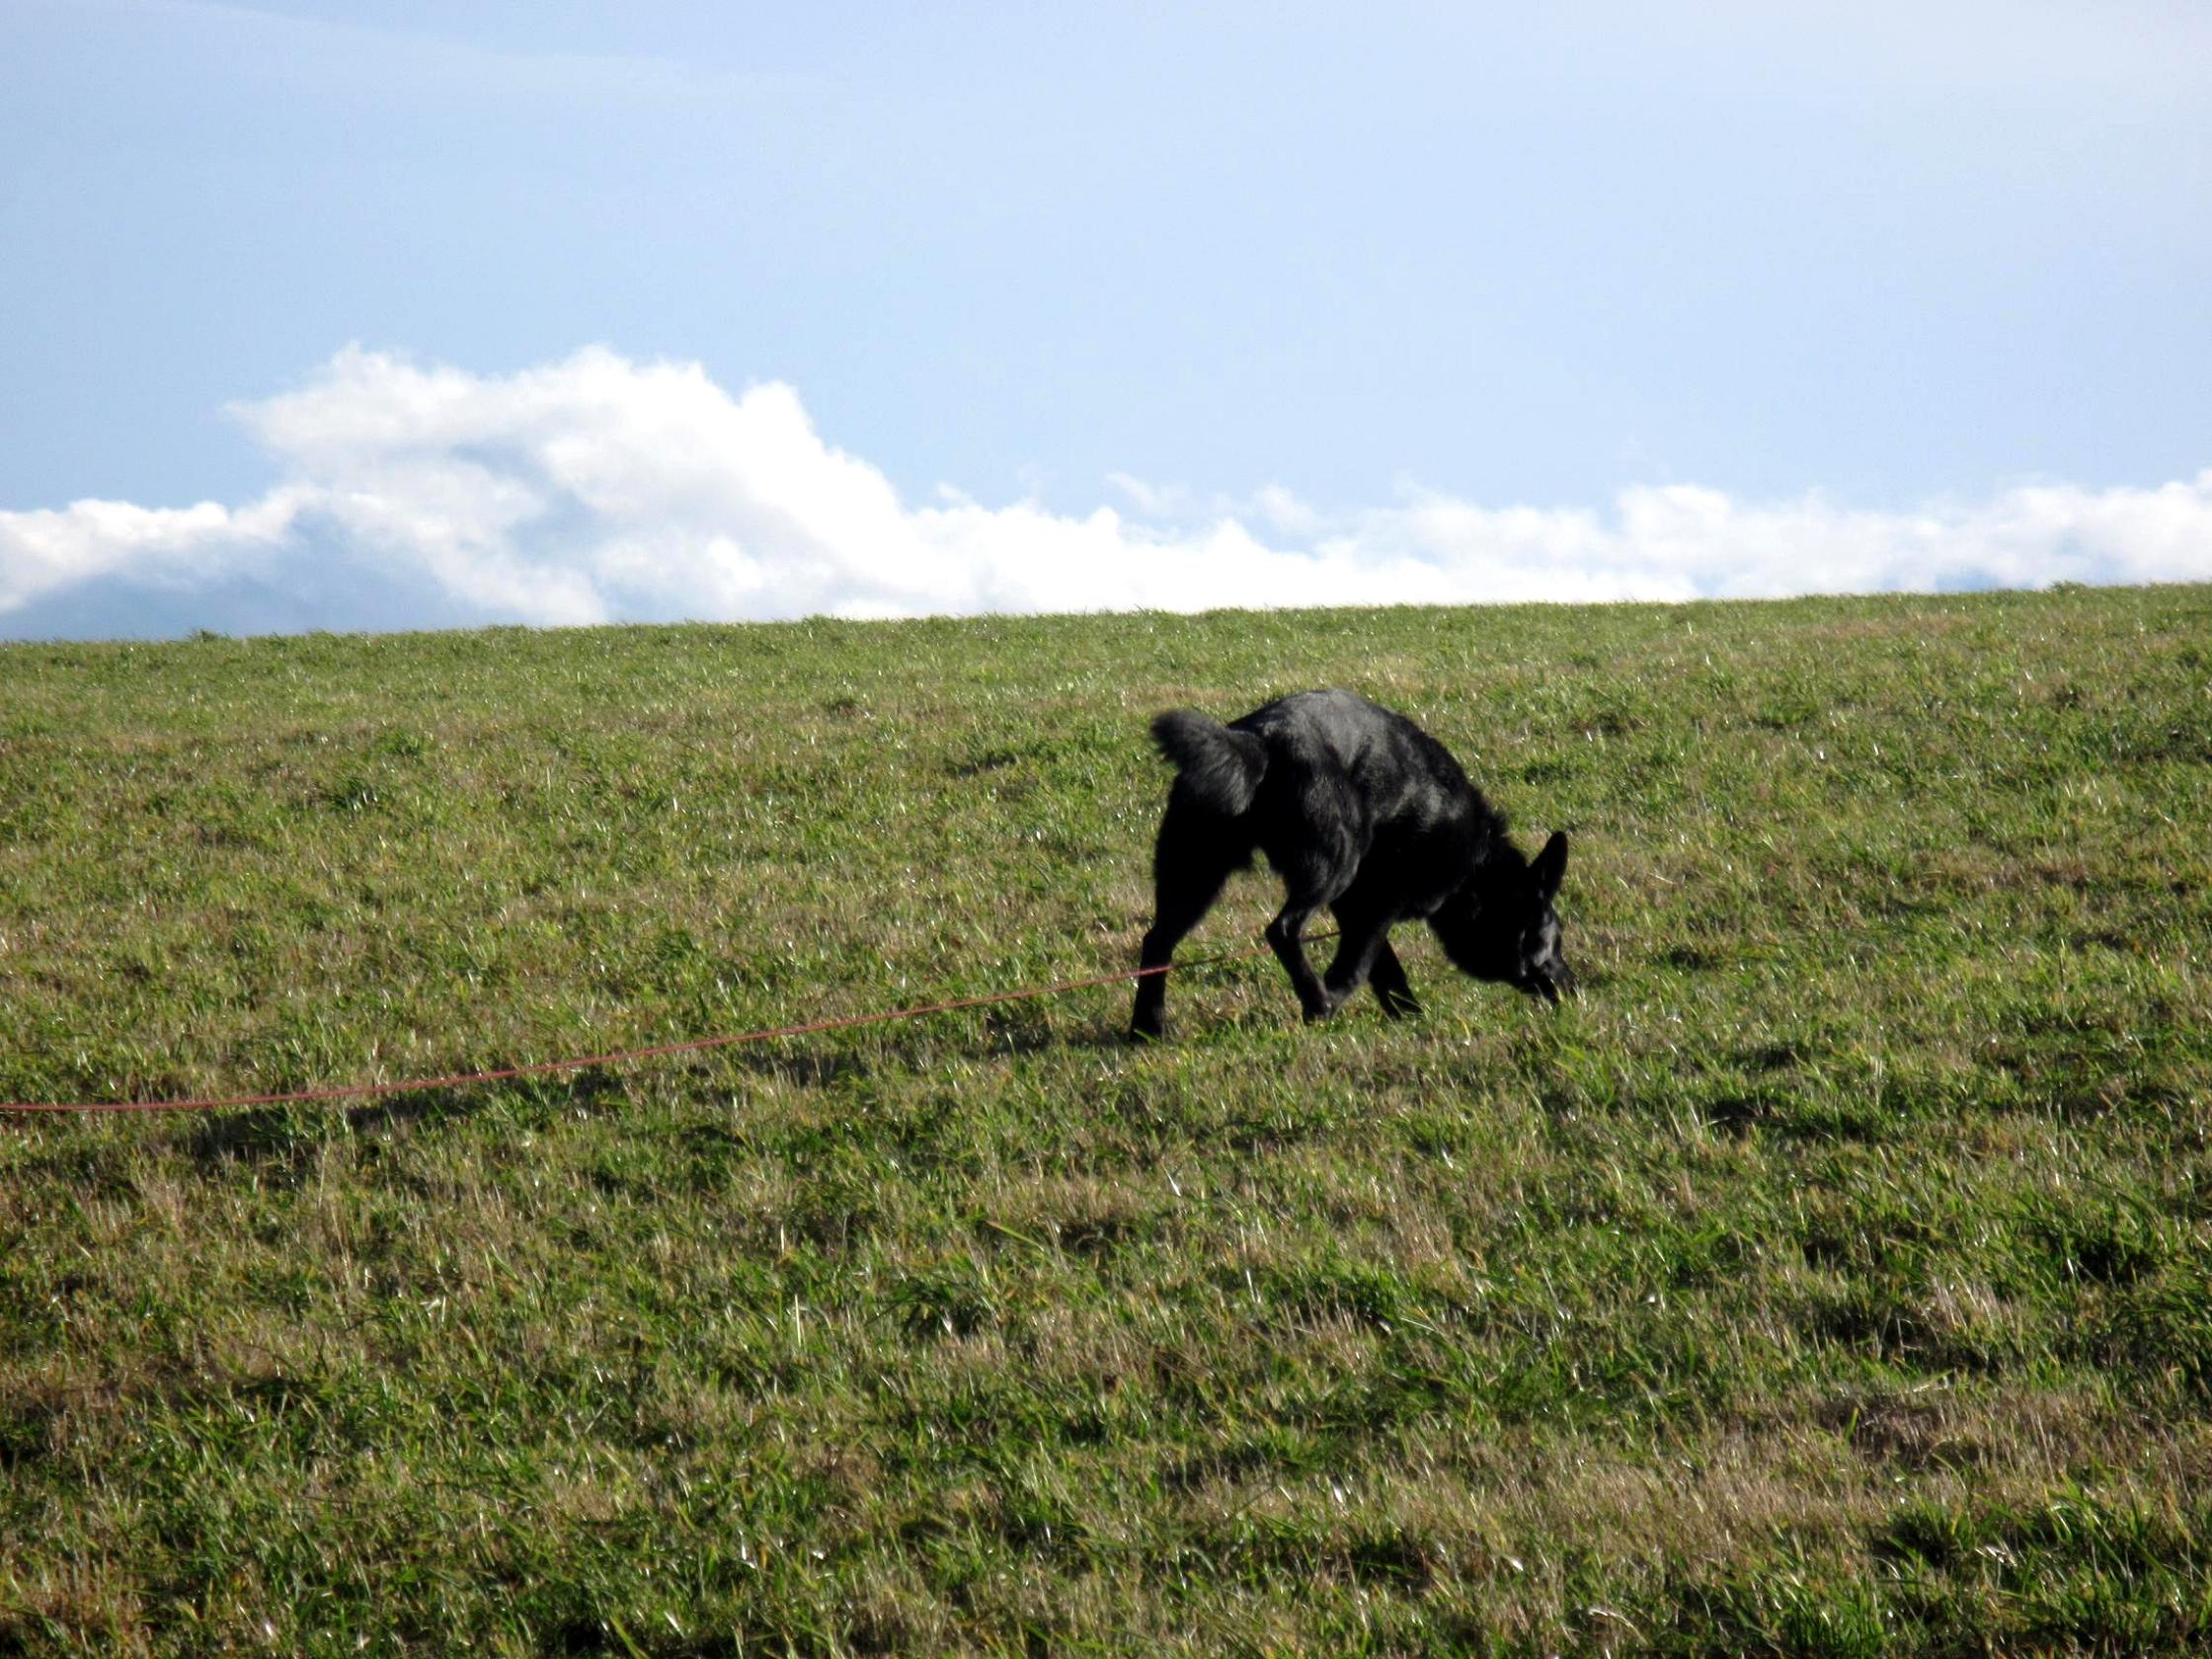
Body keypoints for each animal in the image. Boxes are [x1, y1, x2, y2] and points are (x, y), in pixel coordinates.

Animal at [1123, 689, 1574, 1039]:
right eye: (1554, 939)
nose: (1573, 986)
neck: (1477, 872)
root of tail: (1259, 738)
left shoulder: (1358, 908)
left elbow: (1385, 968)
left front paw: (1408, 1015)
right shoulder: (1380, 902)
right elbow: (1356, 968)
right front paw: (1334, 1001)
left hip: (1194, 876)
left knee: (1157, 942)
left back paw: (1148, 1027)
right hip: (1332, 866)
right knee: (1282, 930)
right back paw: (1316, 1000)